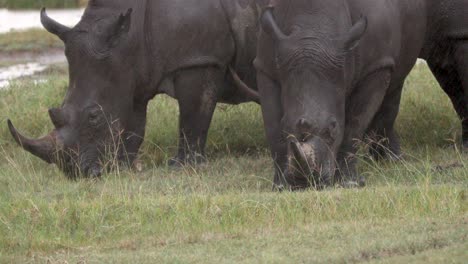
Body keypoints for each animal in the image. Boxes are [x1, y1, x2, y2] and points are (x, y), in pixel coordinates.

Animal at [7, 0, 266, 178]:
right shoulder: (133, 73)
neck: (130, 37)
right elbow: (134, 124)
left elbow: (193, 118)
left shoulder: (199, 60)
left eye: (94, 117)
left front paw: (181, 166)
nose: (76, 173)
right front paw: (124, 166)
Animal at [256, 0, 468, 190]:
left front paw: (348, 183)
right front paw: (281, 186)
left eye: (333, 127)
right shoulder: (266, 65)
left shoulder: (375, 66)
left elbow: (354, 124)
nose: (306, 183)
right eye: (286, 126)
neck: (313, 31)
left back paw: (388, 161)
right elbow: (273, 127)